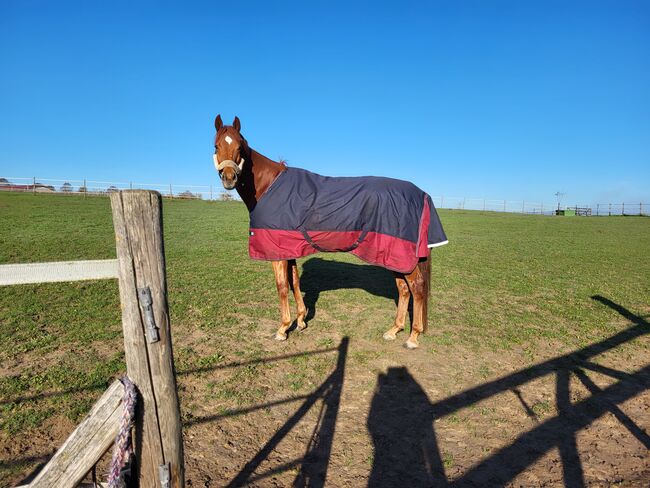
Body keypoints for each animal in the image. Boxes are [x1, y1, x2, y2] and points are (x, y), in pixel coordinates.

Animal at [213, 116, 446, 348]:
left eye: (239, 147)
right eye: (216, 146)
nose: (229, 178)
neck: (268, 186)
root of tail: (423, 195)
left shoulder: (277, 252)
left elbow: (282, 286)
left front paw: (282, 329)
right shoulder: (289, 249)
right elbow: (294, 282)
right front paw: (301, 321)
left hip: (403, 257)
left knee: (417, 288)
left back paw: (413, 337)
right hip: (394, 258)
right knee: (404, 289)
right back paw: (394, 330)